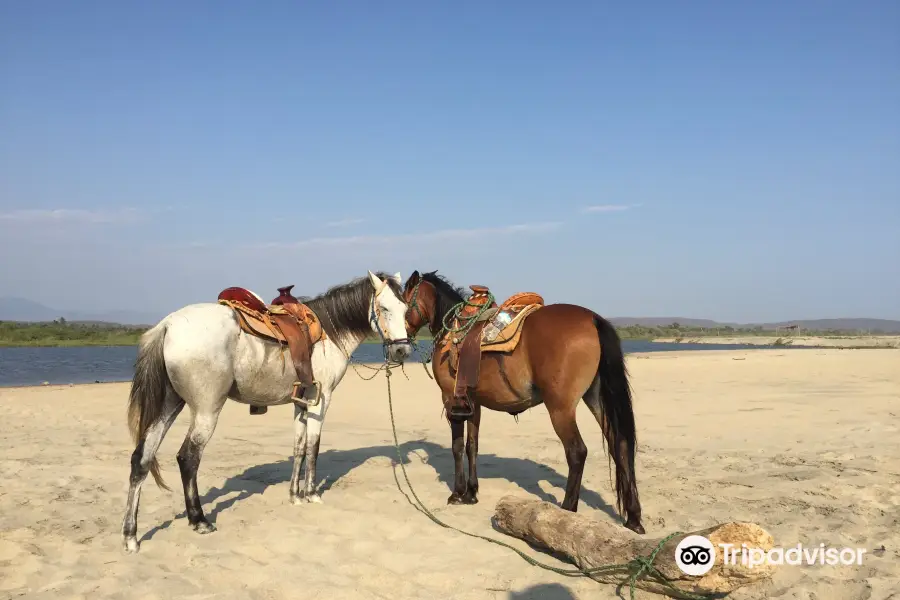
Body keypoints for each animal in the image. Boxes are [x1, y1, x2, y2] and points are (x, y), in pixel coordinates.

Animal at [120, 270, 412, 552]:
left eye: (405, 308)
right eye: (384, 308)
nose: (402, 350)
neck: (329, 333)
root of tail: (168, 325)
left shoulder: (302, 402)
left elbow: (299, 447)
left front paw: (295, 495)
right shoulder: (321, 400)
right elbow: (313, 447)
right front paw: (311, 494)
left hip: (170, 405)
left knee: (141, 459)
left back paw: (131, 535)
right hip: (206, 410)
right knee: (188, 458)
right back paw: (199, 520)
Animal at [404, 270, 644, 532]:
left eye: (404, 300)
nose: (403, 336)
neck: (453, 332)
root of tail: (592, 319)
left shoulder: (451, 399)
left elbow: (457, 447)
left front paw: (457, 493)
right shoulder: (474, 404)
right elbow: (472, 446)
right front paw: (471, 493)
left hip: (560, 408)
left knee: (577, 452)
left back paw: (567, 509)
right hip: (596, 398)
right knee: (620, 445)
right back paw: (633, 518)